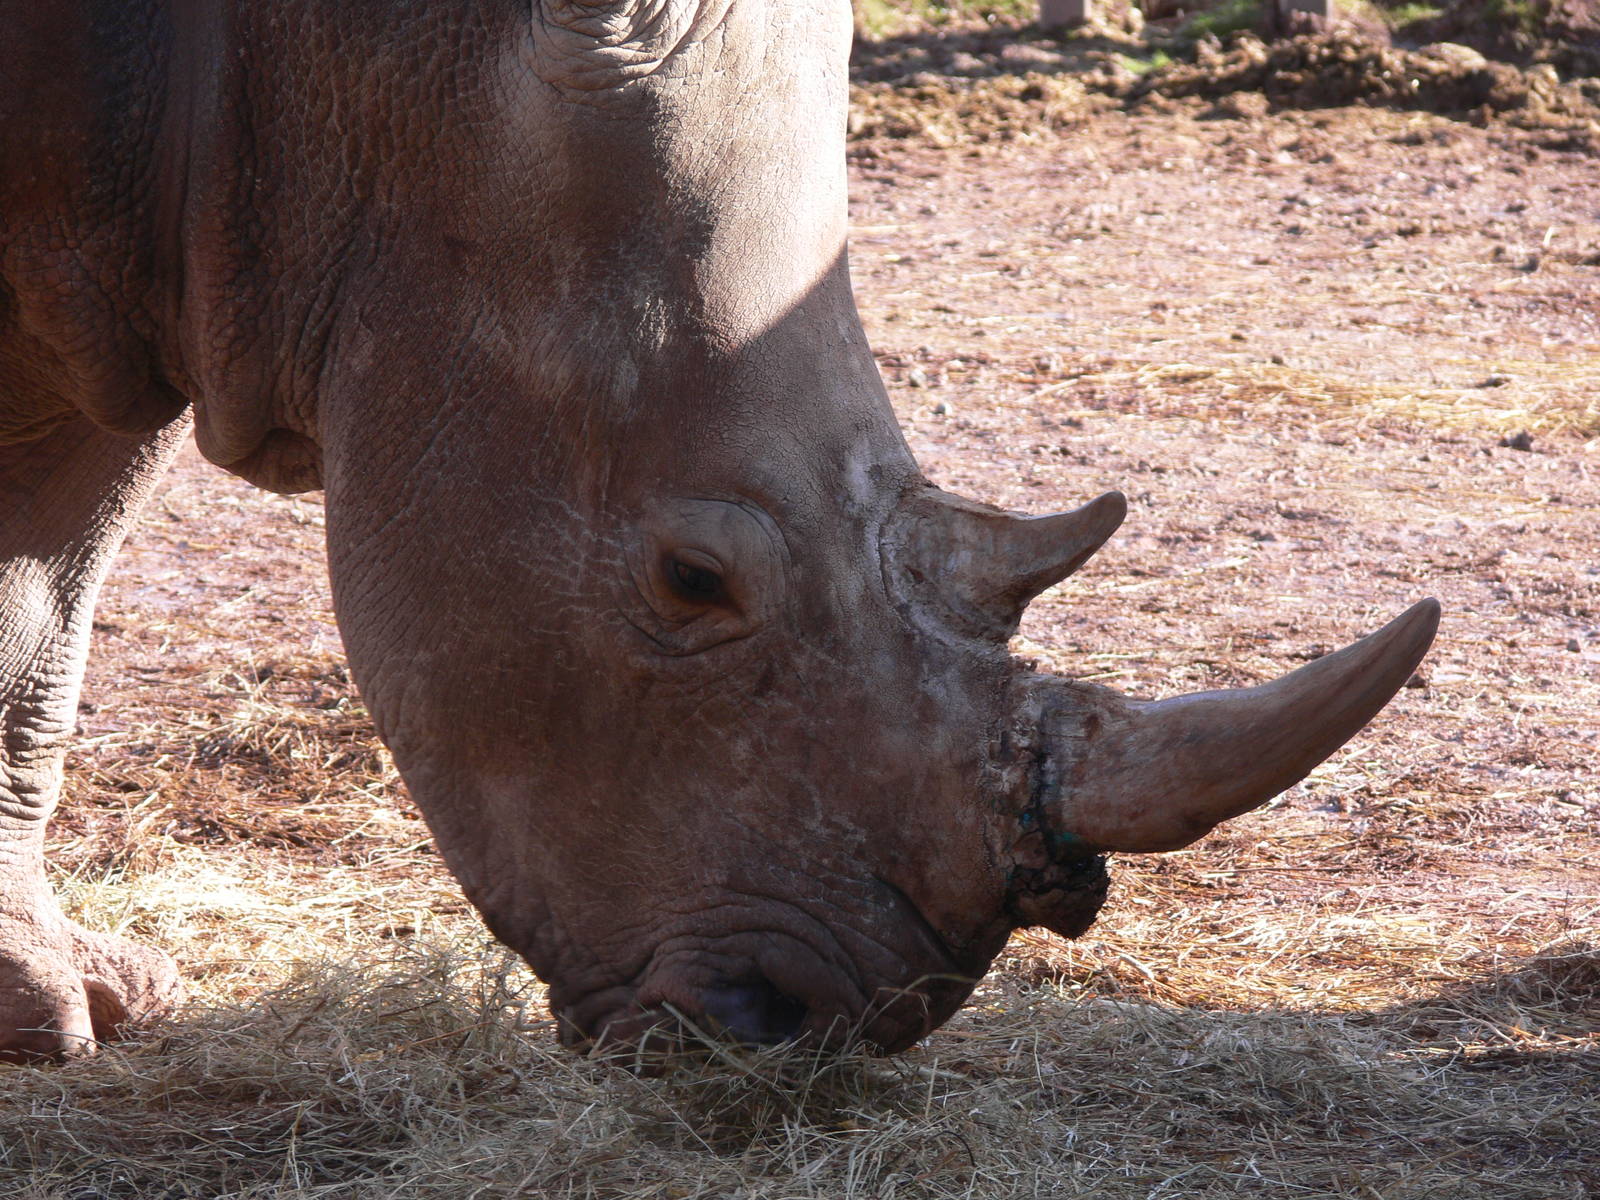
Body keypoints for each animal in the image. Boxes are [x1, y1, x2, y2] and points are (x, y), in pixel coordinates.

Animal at [0, 0, 1438, 1060]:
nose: (821, 1031)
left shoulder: (154, 275)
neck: (329, 61)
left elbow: (41, 625)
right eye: (693, 579)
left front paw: (64, 1007)